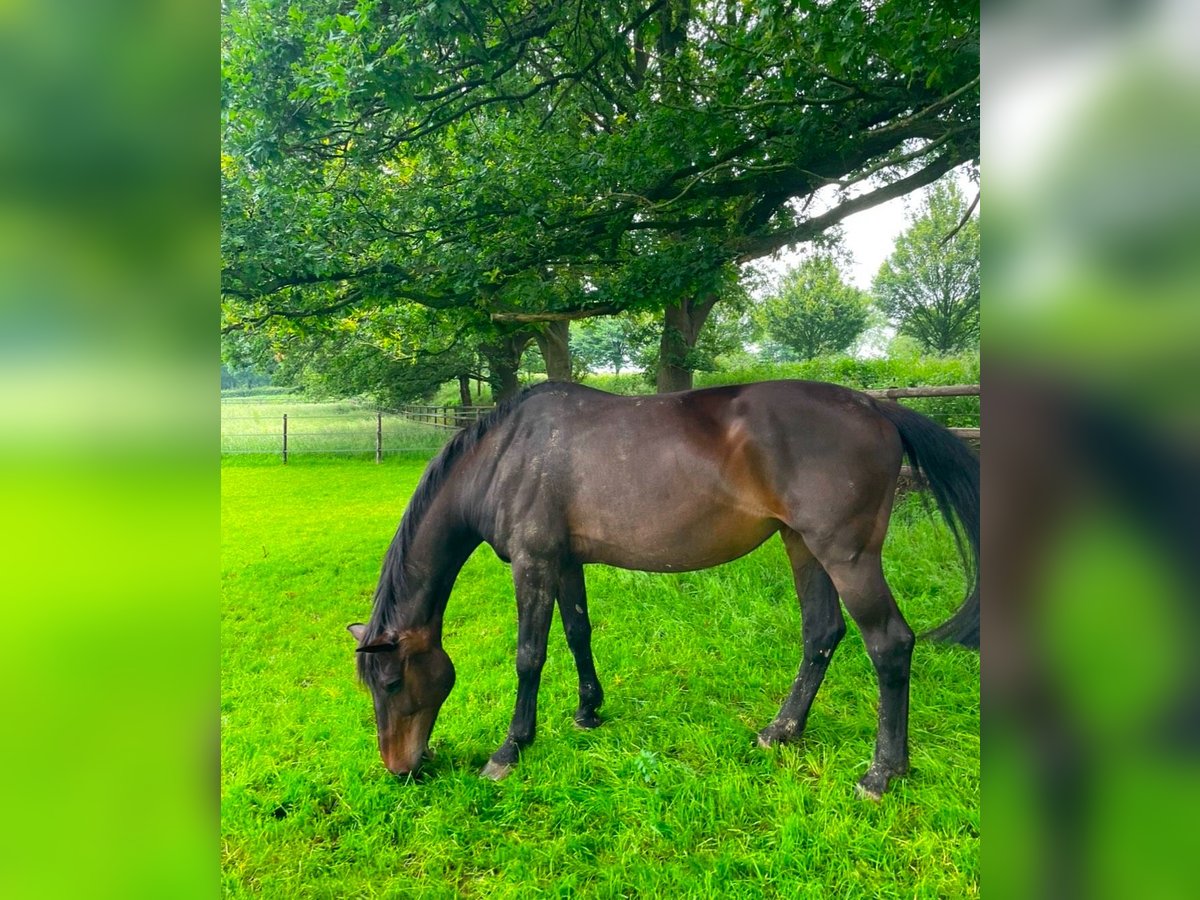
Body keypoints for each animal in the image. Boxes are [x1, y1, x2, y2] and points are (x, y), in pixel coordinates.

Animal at [345, 376, 974, 801]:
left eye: (394, 682)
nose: (398, 768)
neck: (507, 456)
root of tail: (874, 406)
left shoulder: (533, 565)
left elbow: (530, 655)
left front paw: (510, 749)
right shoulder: (565, 563)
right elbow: (578, 633)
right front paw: (588, 711)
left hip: (847, 555)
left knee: (889, 644)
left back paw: (883, 772)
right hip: (802, 545)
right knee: (821, 632)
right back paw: (781, 732)